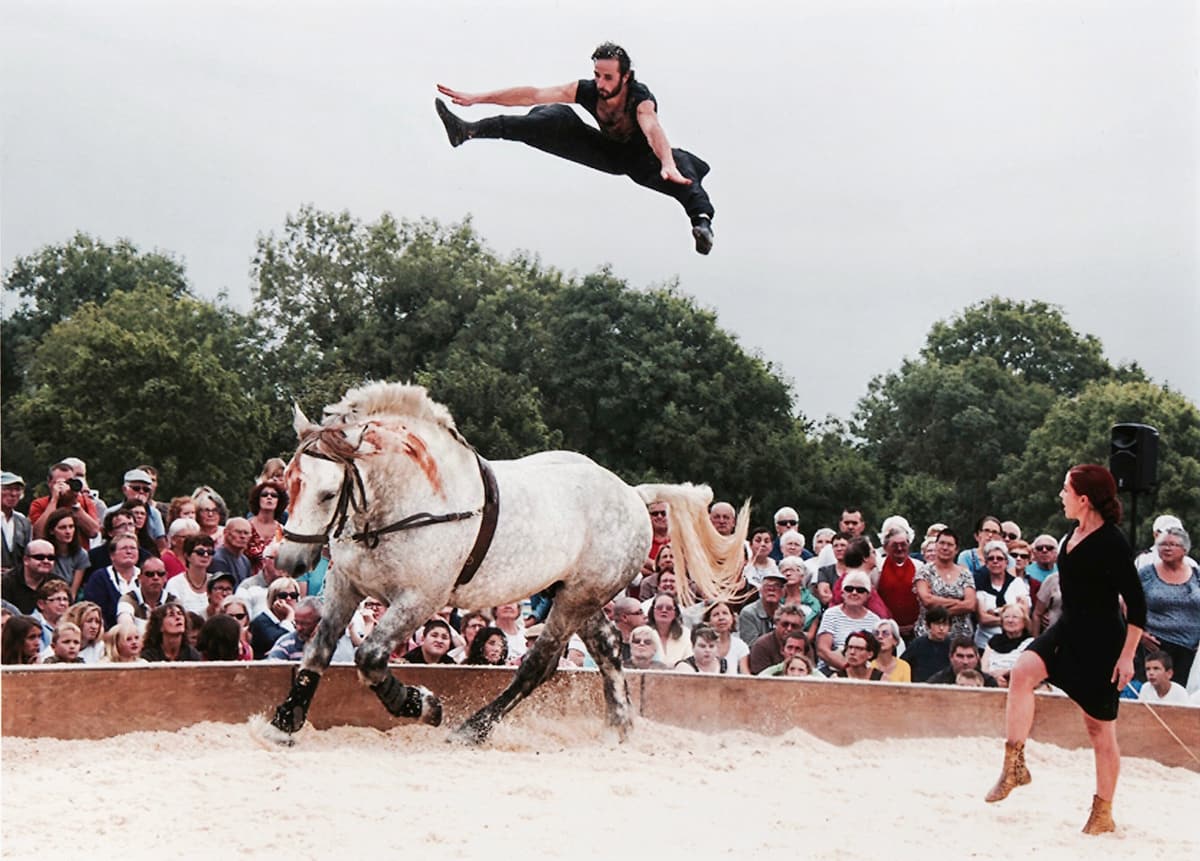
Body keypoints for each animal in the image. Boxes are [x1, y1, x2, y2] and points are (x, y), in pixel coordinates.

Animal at [267, 381, 744, 743]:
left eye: (329, 493)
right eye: (287, 483)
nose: (291, 561)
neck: (401, 506)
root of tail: (632, 493)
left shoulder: (419, 599)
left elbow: (369, 658)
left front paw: (422, 705)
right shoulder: (345, 586)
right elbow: (318, 650)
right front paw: (284, 721)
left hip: (578, 597)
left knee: (539, 664)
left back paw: (472, 729)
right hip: (574, 594)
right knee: (608, 646)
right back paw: (619, 728)